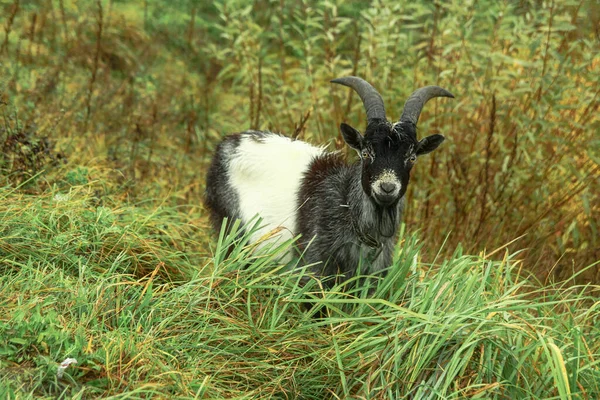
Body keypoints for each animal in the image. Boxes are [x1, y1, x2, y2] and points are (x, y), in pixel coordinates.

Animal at [204, 76, 452, 286]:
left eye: (411, 157)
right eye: (366, 152)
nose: (387, 187)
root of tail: (228, 144)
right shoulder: (314, 269)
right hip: (231, 228)